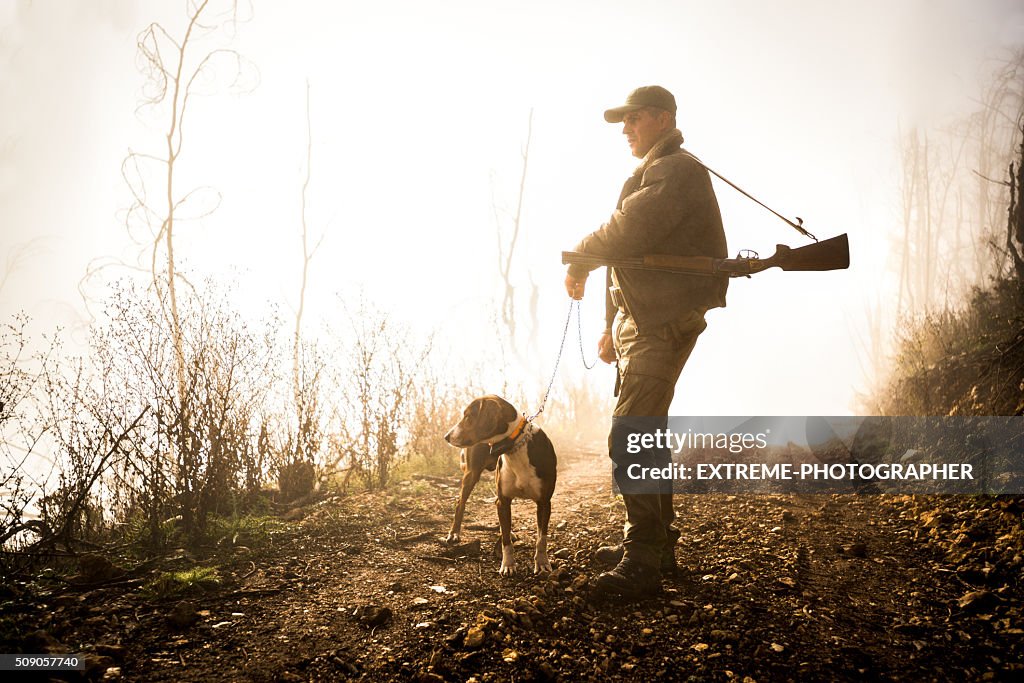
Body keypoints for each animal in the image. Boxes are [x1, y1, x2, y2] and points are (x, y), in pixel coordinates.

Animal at [444, 395, 561, 577]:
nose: (447, 436)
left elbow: (541, 539)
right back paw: (454, 533)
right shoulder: (504, 500)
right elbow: (506, 541)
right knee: (460, 503)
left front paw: (541, 563)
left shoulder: (544, 502)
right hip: (471, 473)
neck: (514, 447)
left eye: (468, 416)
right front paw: (508, 565)